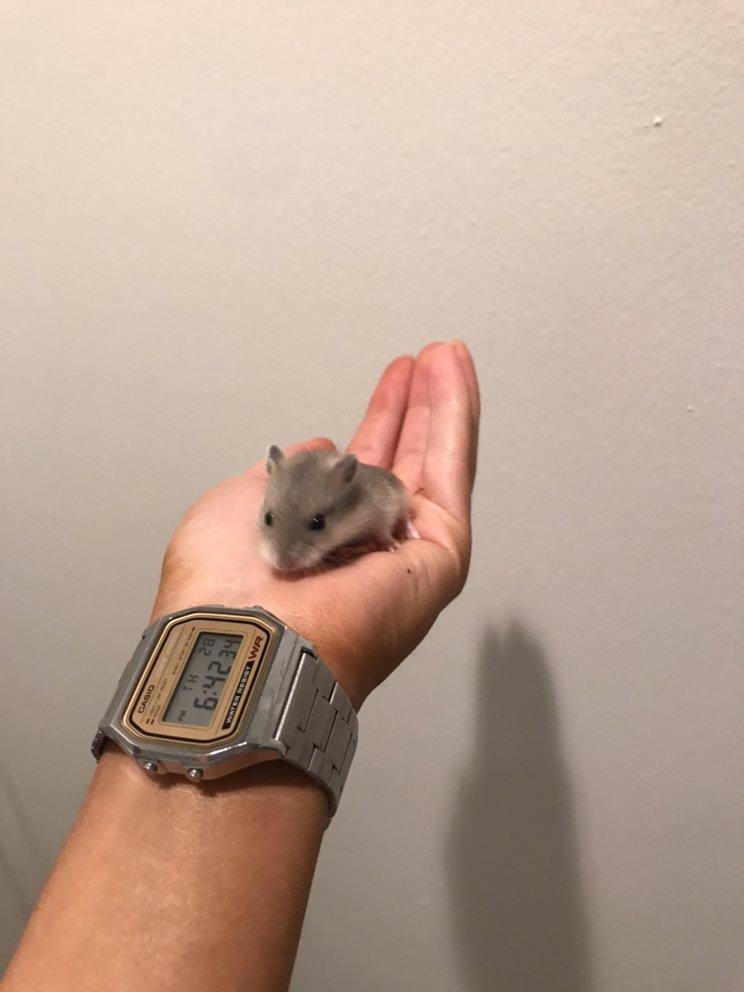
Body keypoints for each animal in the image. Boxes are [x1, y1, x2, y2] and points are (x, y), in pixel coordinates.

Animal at [258, 445, 412, 572]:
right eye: (268, 518)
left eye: (318, 522)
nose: (284, 566)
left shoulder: (383, 510)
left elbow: (383, 533)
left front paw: (393, 547)